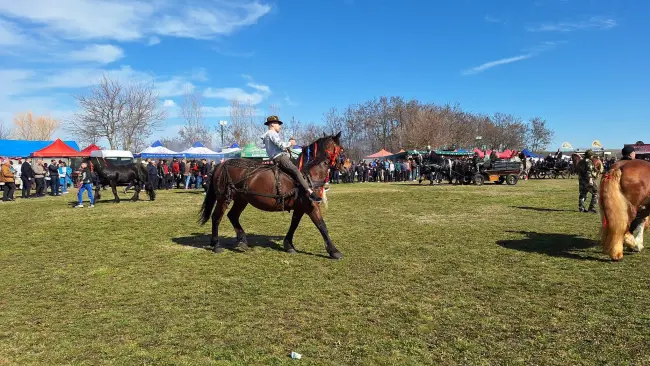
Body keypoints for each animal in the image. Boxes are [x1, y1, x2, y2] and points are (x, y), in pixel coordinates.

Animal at [199, 133, 344, 258]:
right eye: (341, 149)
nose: (344, 165)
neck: (309, 173)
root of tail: (220, 164)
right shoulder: (311, 205)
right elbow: (322, 226)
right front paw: (334, 251)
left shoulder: (300, 207)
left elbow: (294, 224)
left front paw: (289, 245)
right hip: (223, 199)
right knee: (216, 217)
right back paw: (216, 244)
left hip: (241, 199)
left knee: (233, 216)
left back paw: (242, 241)